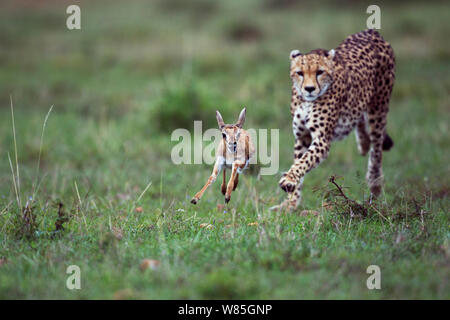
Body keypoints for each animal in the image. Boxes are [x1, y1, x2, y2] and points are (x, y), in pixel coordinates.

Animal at [270, 28, 394, 211]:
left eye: (319, 72)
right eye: (300, 73)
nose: (309, 88)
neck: (306, 101)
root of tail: (371, 31)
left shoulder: (322, 139)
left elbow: (303, 162)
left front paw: (288, 180)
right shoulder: (302, 136)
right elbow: (299, 161)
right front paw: (291, 203)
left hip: (379, 108)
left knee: (377, 148)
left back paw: (374, 183)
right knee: (361, 120)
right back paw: (363, 143)